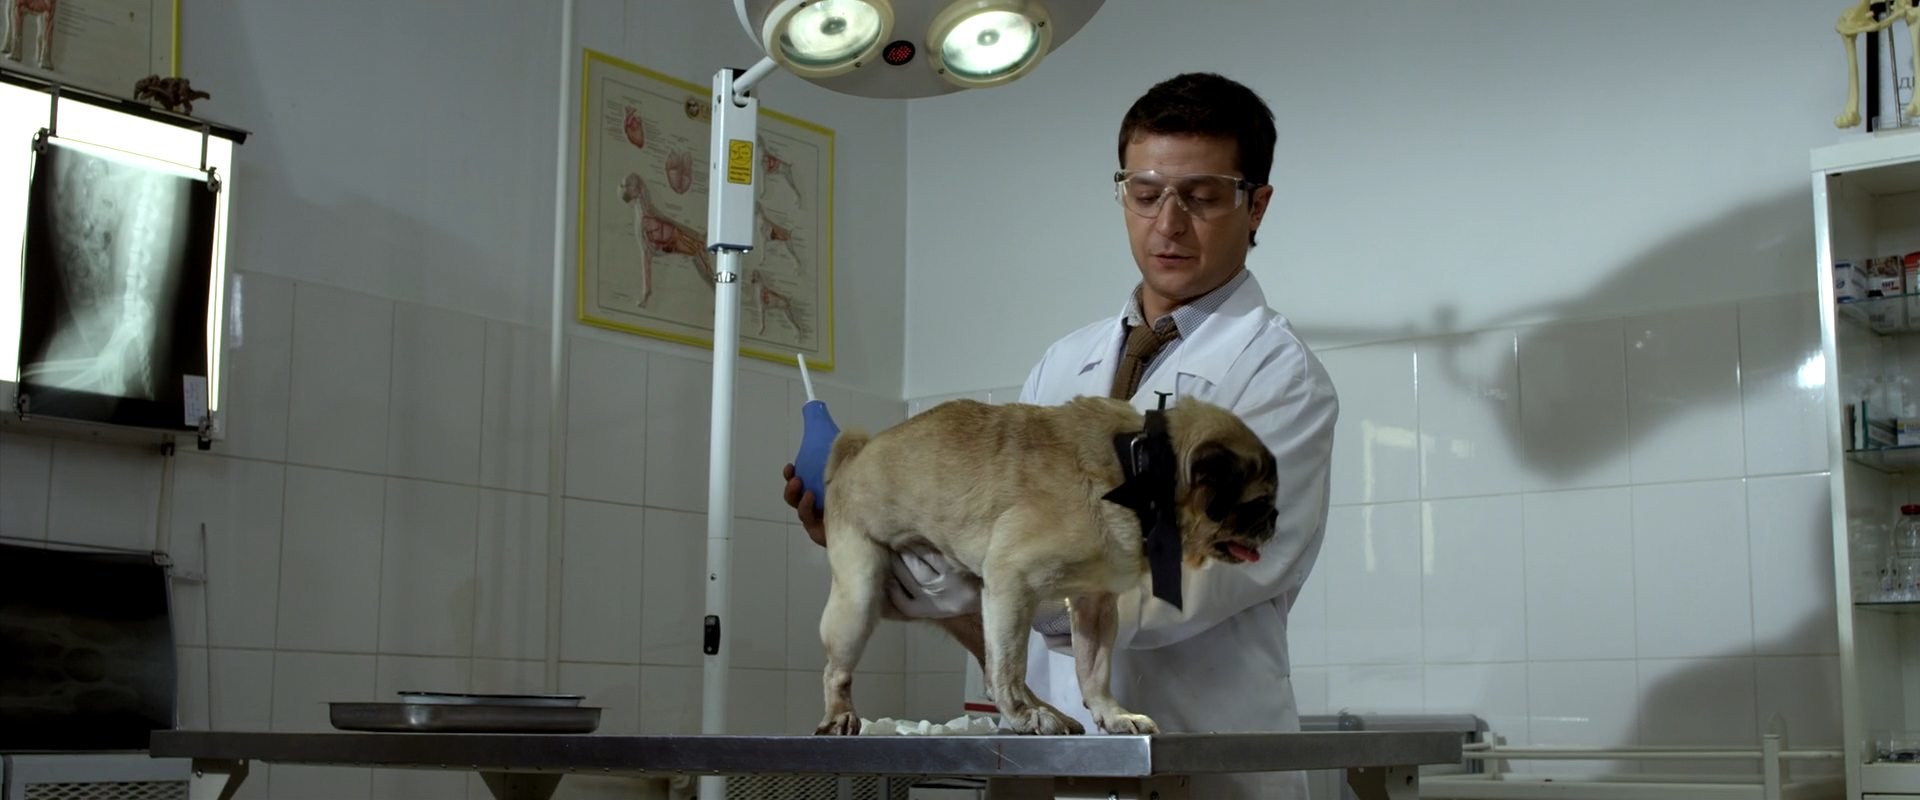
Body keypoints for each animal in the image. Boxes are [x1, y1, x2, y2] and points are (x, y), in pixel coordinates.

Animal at [815, 395, 1279, 736]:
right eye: (1256, 504)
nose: (1275, 518)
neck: (1136, 475)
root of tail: (853, 459)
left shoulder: (1095, 605)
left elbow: (1094, 670)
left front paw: (1112, 714)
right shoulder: (1012, 580)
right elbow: (1011, 666)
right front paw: (1022, 715)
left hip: (977, 607)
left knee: (994, 672)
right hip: (860, 596)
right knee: (839, 670)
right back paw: (840, 713)